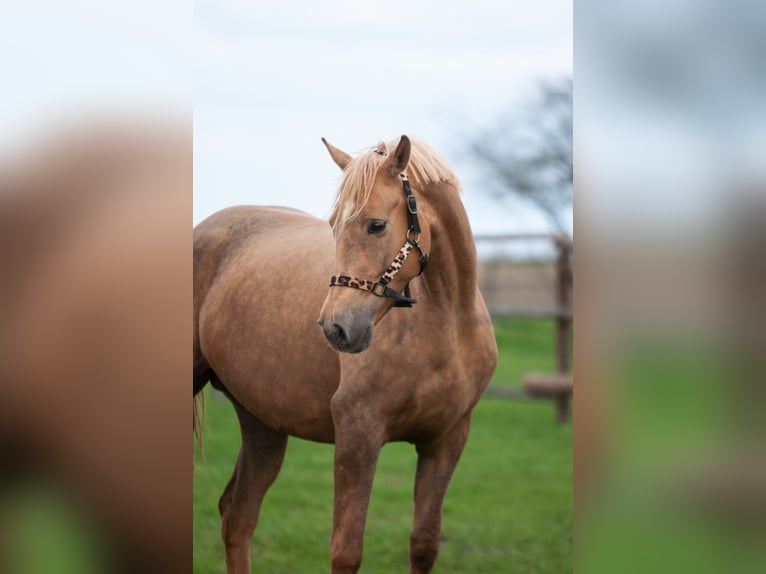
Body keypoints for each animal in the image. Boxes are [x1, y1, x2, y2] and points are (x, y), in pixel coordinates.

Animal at [193, 135, 497, 573]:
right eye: (334, 225)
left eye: (377, 225)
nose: (336, 328)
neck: (447, 327)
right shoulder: (358, 435)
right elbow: (346, 551)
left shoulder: (446, 440)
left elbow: (424, 545)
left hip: (262, 424)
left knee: (238, 516)